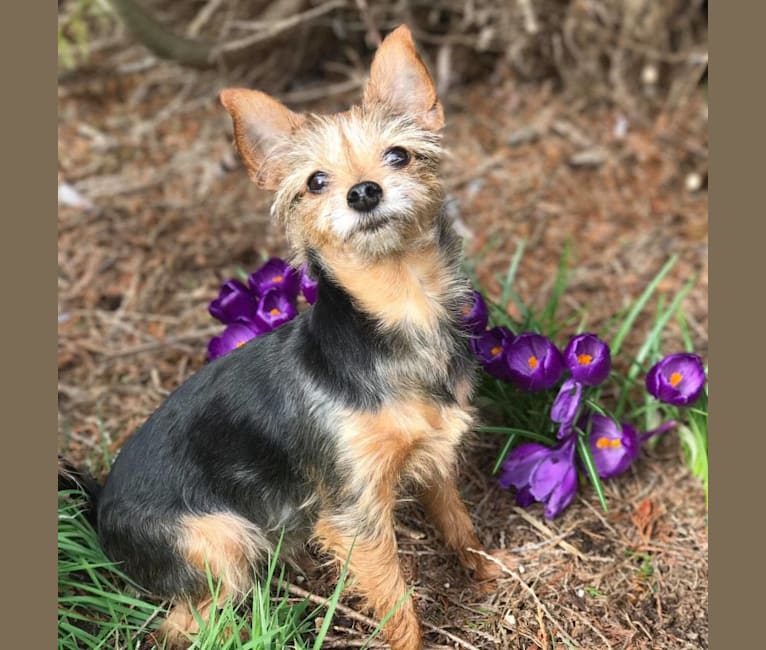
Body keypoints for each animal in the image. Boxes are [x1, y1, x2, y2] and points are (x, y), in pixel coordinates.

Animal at [76, 25, 510, 648]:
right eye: (316, 182)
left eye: (398, 155)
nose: (363, 192)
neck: (400, 310)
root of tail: (99, 512)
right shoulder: (355, 509)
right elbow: (395, 595)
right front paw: (409, 636)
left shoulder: (435, 453)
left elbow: (455, 516)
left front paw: (481, 565)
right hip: (222, 541)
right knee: (182, 625)